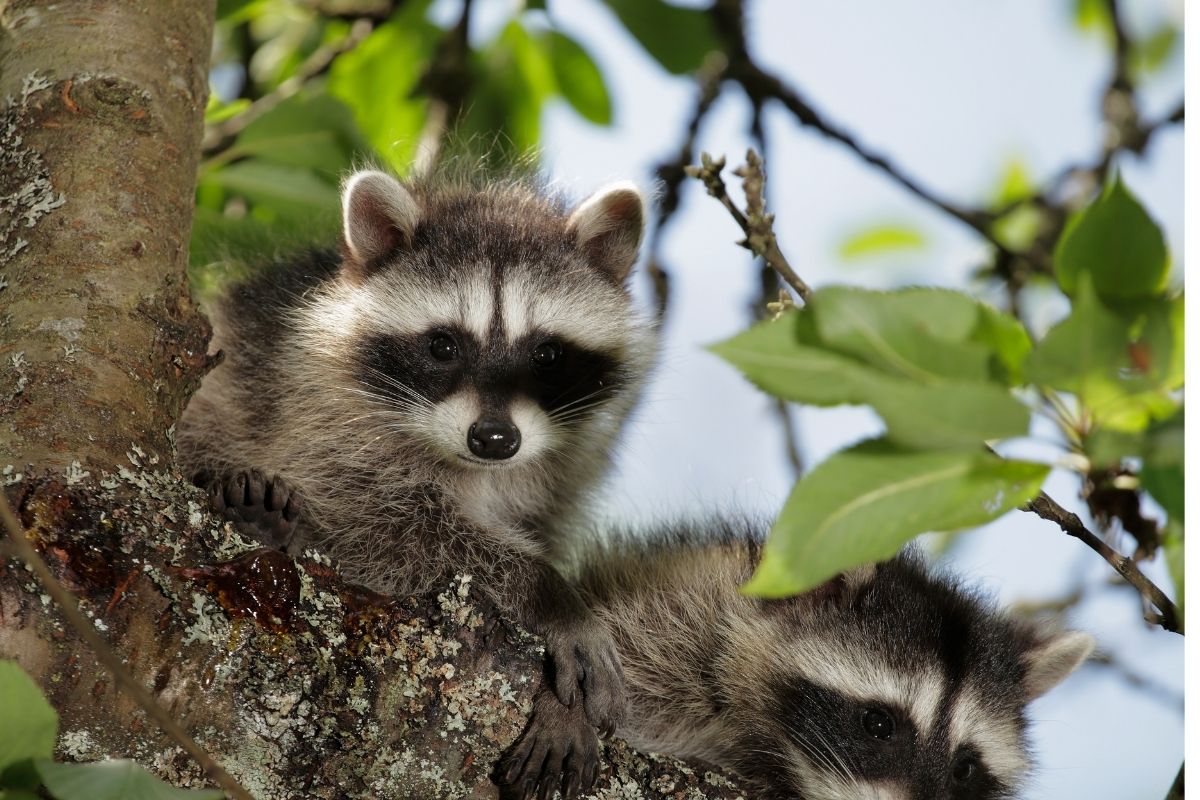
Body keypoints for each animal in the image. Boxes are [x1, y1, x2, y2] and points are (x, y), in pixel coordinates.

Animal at [175, 165, 657, 729]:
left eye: (548, 354)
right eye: (443, 345)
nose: (495, 439)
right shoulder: (319, 418)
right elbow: (382, 527)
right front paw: (547, 592)